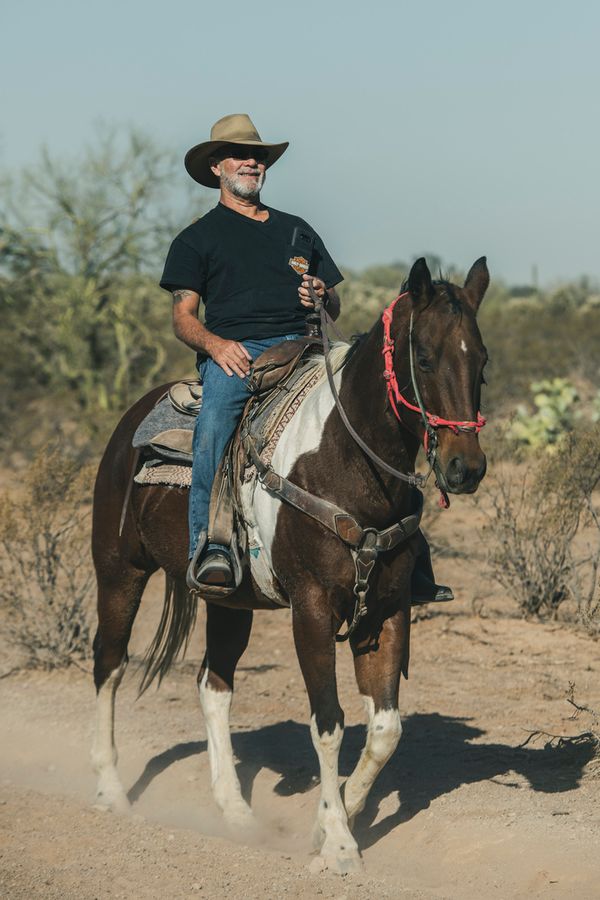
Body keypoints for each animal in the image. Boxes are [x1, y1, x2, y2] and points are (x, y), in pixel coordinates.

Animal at [91, 253, 490, 872]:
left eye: (483, 362)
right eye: (423, 357)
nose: (465, 468)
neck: (348, 463)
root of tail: (128, 423)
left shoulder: (387, 611)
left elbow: (384, 729)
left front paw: (331, 819)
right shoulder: (312, 610)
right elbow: (328, 725)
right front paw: (341, 846)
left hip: (230, 599)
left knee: (214, 685)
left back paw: (234, 811)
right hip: (119, 573)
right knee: (108, 665)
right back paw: (111, 791)